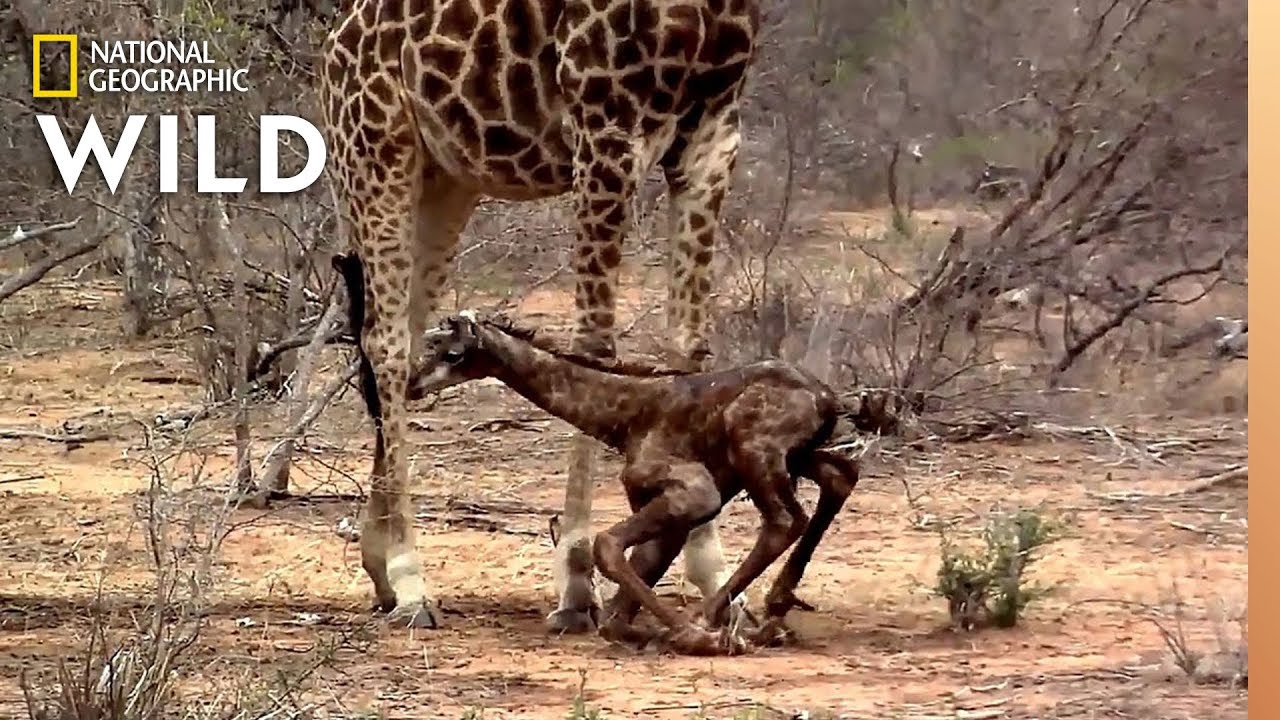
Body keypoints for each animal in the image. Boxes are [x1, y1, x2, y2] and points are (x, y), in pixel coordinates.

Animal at [318, 0, 761, 630]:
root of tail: (335, 46)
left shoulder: (713, 133)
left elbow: (688, 345)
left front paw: (717, 576)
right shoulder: (605, 129)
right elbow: (595, 347)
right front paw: (576, 578)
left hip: (448, 177)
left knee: (400, 335)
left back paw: (378, 564)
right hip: (376, 150)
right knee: (385, 343)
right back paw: (411, 580)